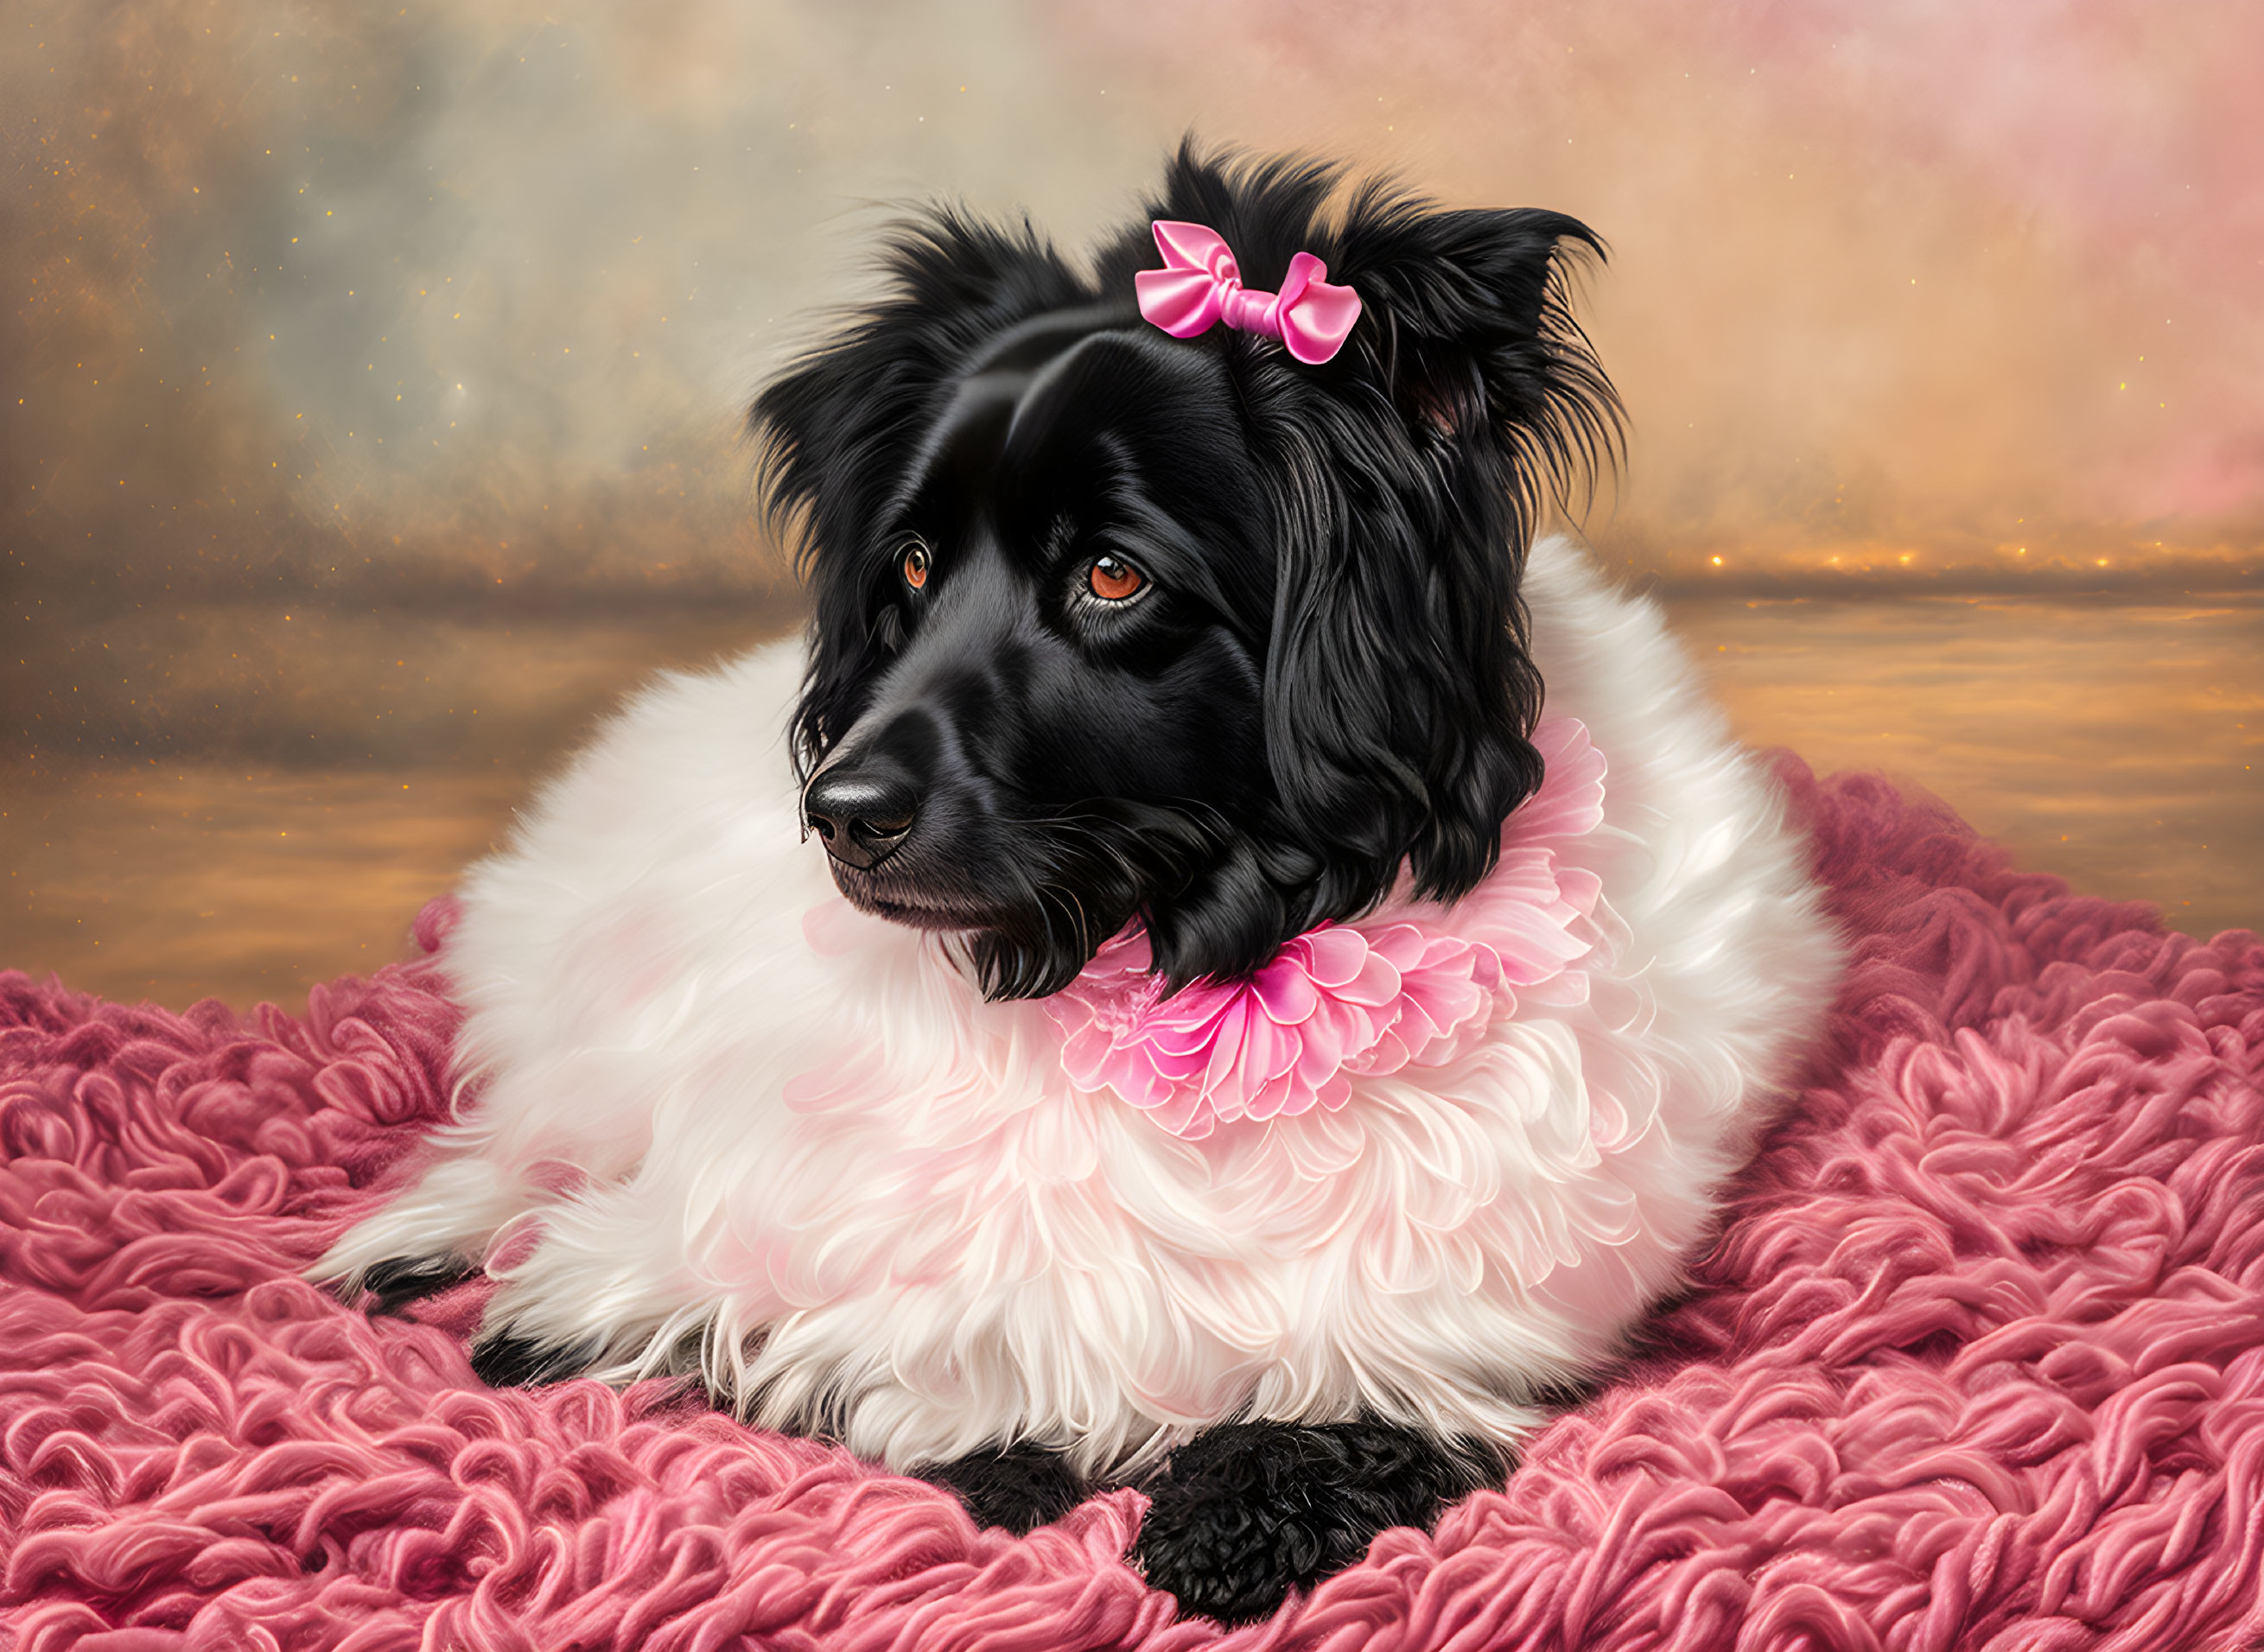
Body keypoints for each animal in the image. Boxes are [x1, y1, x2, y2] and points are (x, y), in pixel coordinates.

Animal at [315, 148, 1838, 1611]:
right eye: (909, 567)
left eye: (1112, 575)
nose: (835, 811)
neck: (1193, 964)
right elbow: (901, 1349)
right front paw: (990, 1453)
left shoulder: (1462, 1323)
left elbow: (1353, 1392)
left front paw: (1248, 1510)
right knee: (531, 1135)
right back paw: (414, 1238)